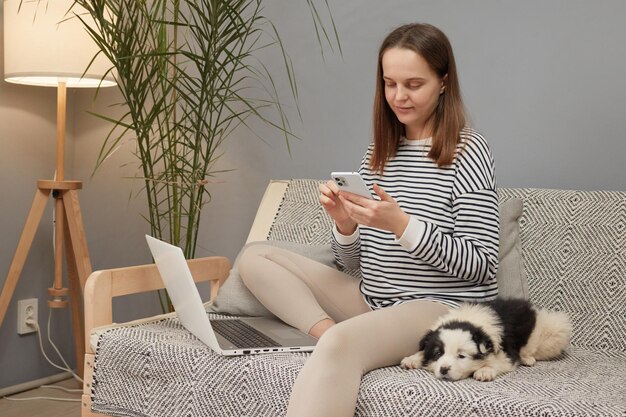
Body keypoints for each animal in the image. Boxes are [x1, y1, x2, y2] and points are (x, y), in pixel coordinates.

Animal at [400, 298, 572, 382]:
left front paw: (484, 371)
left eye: (461, 356)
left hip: (550, 330)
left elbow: (499, 362)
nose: (444, 369)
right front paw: (413, 359)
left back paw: (527, 359)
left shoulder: (507, 353)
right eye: (438, 354)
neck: (468, 320)